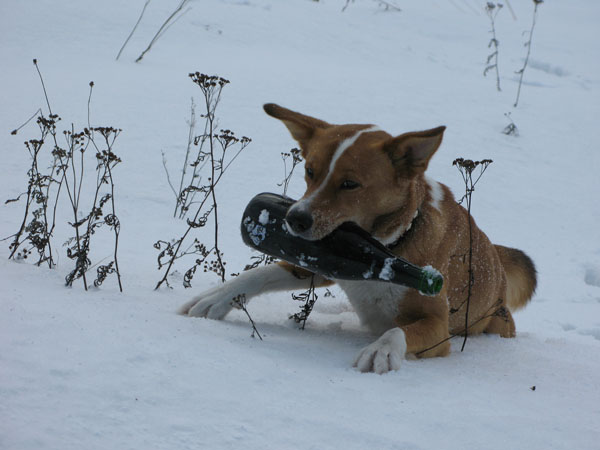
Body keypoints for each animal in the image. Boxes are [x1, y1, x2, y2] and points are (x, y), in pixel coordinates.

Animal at [179, 103, 540, 374]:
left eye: (350, 184)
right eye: (310, 171)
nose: (294, 219)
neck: (389, 246)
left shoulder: (438, 325)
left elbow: (399, 329)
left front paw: (382, 349)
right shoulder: (324, 259)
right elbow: (262, 272)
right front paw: (219, 296)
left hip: (493, 325)